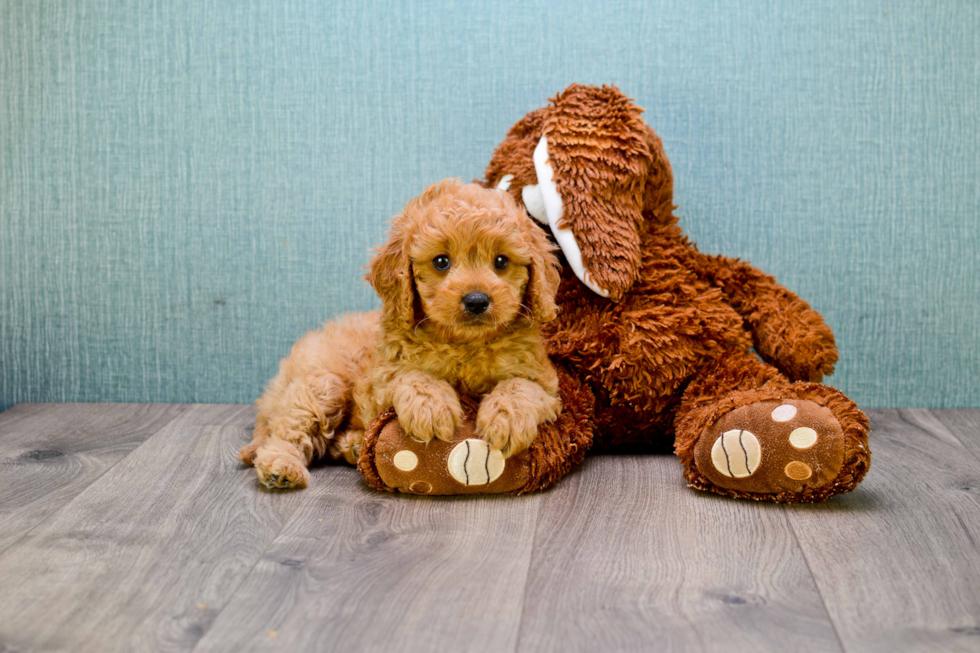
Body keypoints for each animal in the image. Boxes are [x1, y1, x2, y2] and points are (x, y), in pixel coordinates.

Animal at [237, 180, 560, 488]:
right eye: (441, 262)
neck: (464, 344)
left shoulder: (545, 381)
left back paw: (351, 446)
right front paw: (430, 406)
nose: (477, 300)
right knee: (285, 433)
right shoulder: (380, 381)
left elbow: (521, 386)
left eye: (501, 261)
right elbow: (412, 376)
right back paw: (282, 467)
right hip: (321, 387)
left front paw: (507, 418)